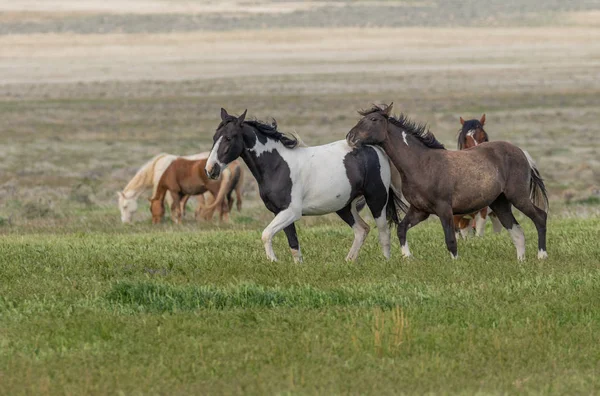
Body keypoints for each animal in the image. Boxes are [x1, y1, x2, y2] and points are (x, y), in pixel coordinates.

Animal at [204, 108, 406, 262]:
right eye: (214, 137)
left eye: (229, 138)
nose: (210, 169)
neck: (277, 165)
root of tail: (375, 148)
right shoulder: (279, 211)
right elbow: (293, 244)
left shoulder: (291, 211)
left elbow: (266, 234)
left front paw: (273, 261)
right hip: (344, 206)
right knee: (361, 230)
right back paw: (348, 262)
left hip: (377, 199)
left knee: (383, 232)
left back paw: (385, 262)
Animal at [346, 103, 548, 262]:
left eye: (373, 119)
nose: (350, 137)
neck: (421, 164)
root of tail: (521, 152)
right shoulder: (419, 211)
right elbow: (402, 229)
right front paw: (407, 258)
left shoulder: (444, 209)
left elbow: (451, 240)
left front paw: (455, 265)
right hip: (500, 203)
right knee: (517, 231)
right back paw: (521, 261)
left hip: (517, 197)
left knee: (540, 217)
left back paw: (542, 256)